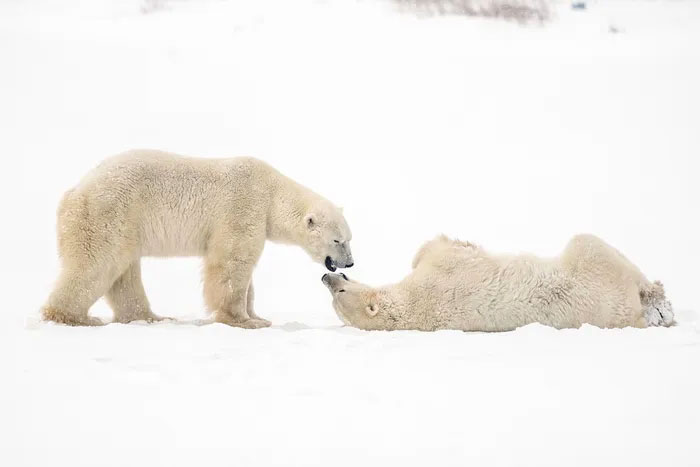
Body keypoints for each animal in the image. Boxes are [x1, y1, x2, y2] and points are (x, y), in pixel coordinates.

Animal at [41, 149, 353, 328]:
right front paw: (244, 321)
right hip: (109, 212)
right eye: (338, 241)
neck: (271, 193)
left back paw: (150, 317)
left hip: (124, 224)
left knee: (124, 273)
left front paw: (257, 315)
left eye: (350, 238)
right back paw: (75, 317)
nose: (349, 263)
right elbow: (231, 263)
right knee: (97, 262)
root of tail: (74, 190)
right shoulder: (243, 207)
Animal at [321, 234, 673, 331]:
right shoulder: (440, 274)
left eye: (339, 291)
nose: (327, 277)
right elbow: (443, 249)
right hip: (595, 274)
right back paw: (659, 303)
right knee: (593, 245)